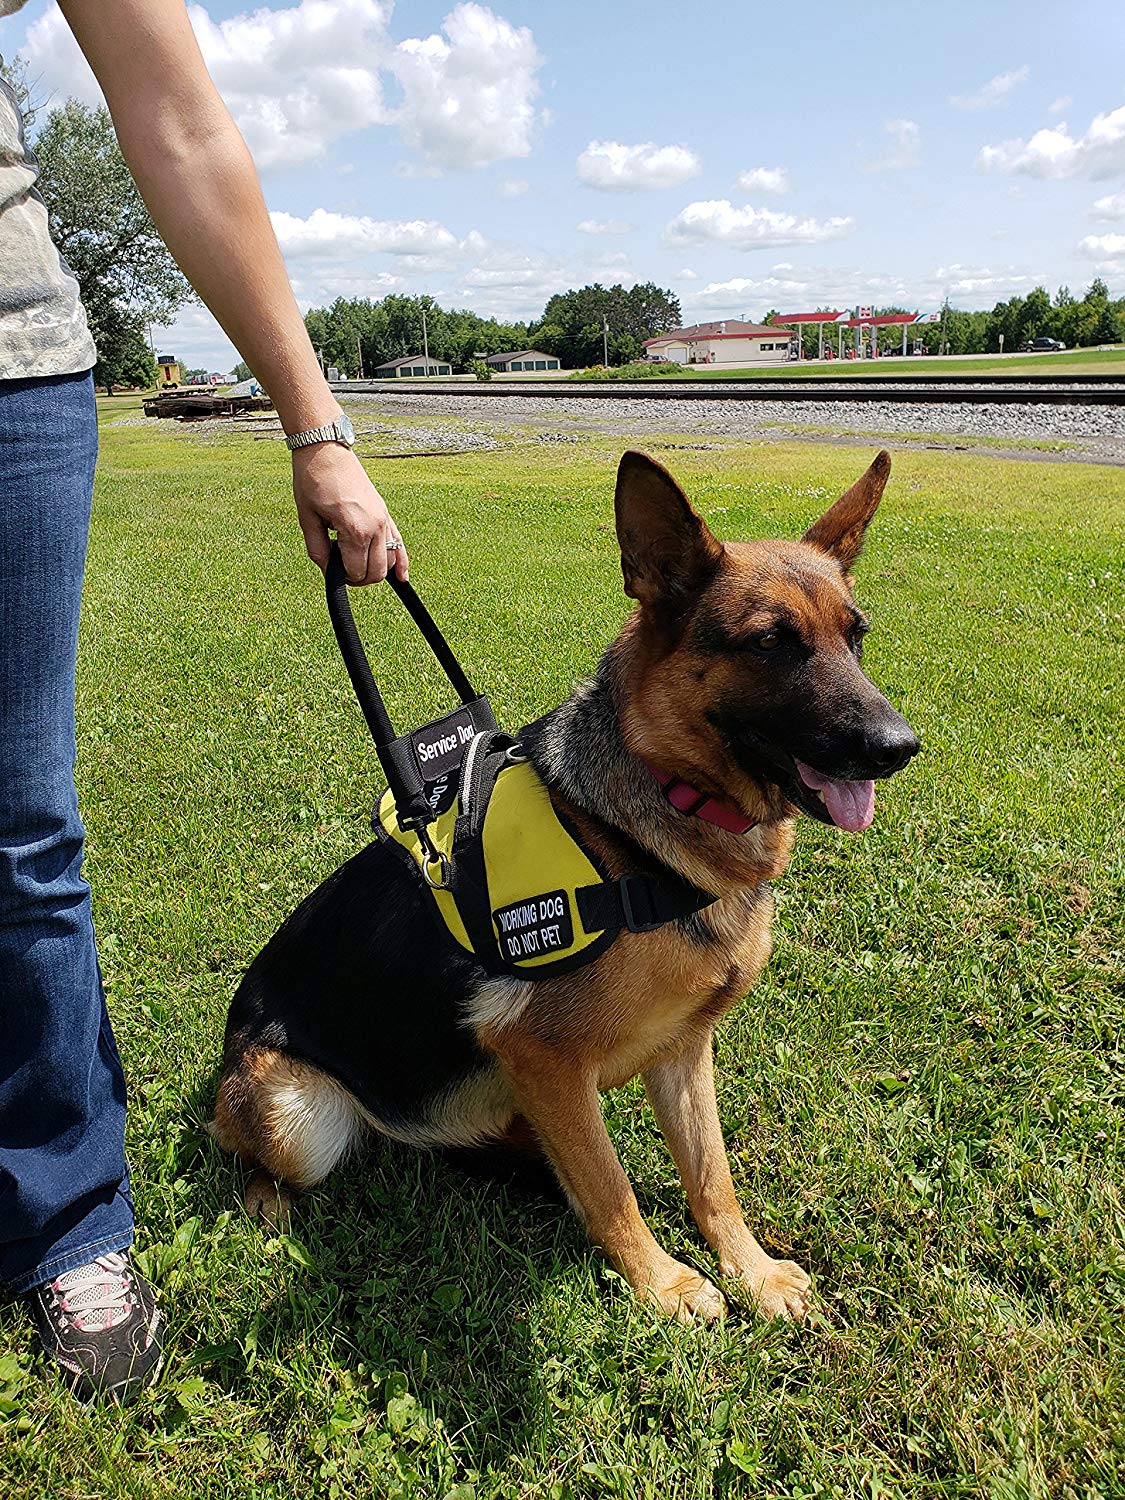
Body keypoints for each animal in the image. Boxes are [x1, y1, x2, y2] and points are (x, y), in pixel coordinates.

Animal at [210, 447, 918, 1326]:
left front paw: (748, 1270)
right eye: (770, 644)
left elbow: (710, 1176)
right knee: (248, 1152)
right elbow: (612, 1187)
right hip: (294, 1115)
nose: (899, 746)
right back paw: (267, 1202)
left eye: (855, 639)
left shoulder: (683, 1050)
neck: (648, 824)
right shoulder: (541, 1056)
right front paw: (664, 1284)